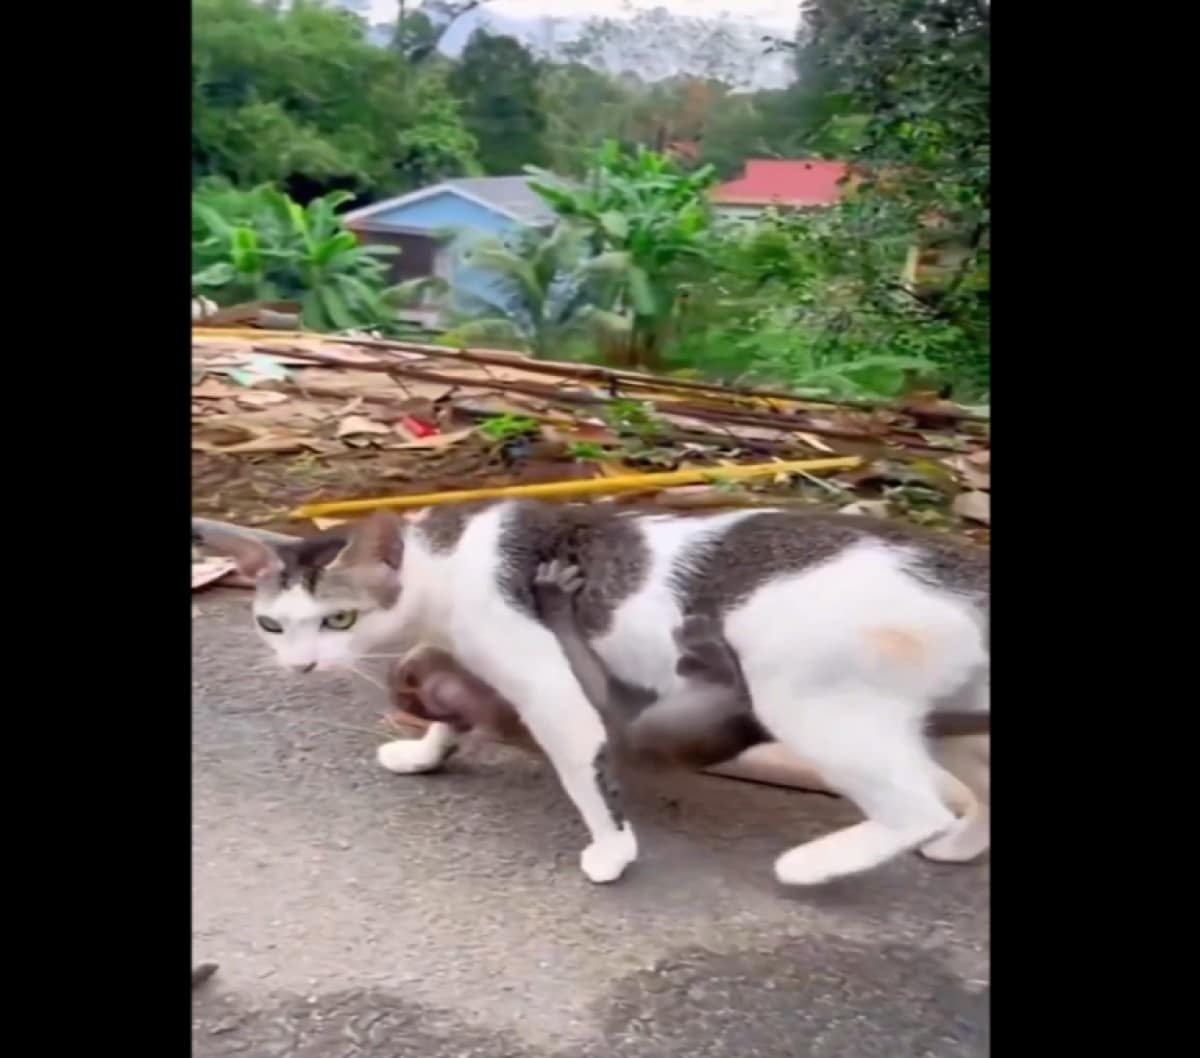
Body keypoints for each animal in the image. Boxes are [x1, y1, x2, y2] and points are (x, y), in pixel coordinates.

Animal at [206, 499, 988, 887]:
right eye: (272, 625)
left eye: (337, 620)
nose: (300, 666)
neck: (446, 565)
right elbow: (451, 707)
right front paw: (427, 752)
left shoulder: (550, 689)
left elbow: (587, 774)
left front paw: (612, 852)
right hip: (953, 714)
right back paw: (961, 846)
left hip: (805, 699)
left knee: (914, 808)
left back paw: (813, 865)